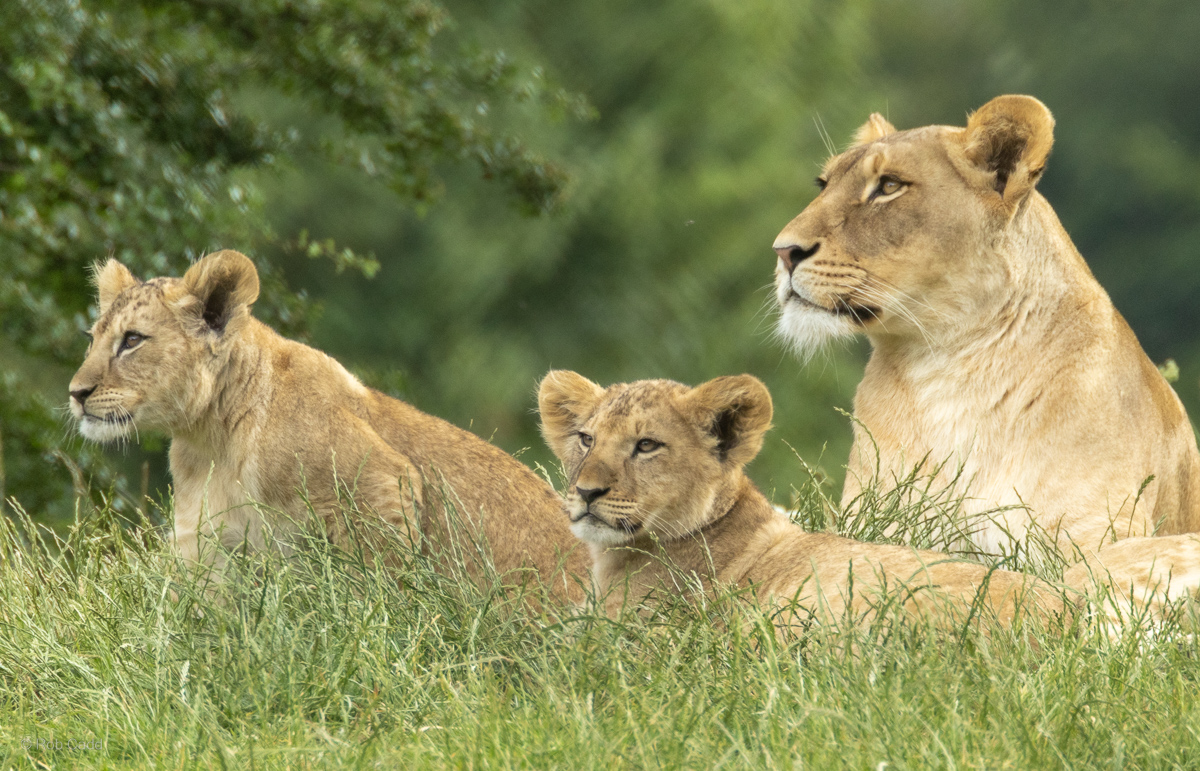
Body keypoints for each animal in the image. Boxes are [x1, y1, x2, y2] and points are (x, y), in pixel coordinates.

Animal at [68, 250, 588, 601]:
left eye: (133, 340)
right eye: (92, 339)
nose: (76, 393)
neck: (212, 437)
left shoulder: (381, 479)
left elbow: (376, 589)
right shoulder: (205, 537)